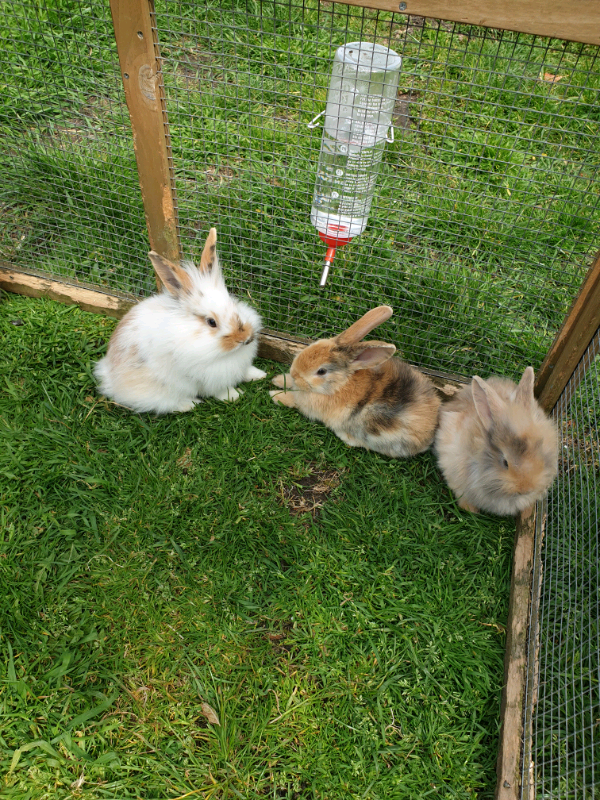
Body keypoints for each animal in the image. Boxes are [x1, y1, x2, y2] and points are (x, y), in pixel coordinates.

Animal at [94, 228, 266, 414]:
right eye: (211, 322)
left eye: (234, 304)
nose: (245, 339)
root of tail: (109, 377)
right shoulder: (209, 377)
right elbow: (219, 390)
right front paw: (234, 396)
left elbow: (245, 370)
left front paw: (259, 374)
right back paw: (190, 404)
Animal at [269, 306, 441, 457]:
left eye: (321, 371)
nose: (294, 373)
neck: (340, 385)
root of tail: (429, 435)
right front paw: (278, 379)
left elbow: (293, 399)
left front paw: (274, 395)